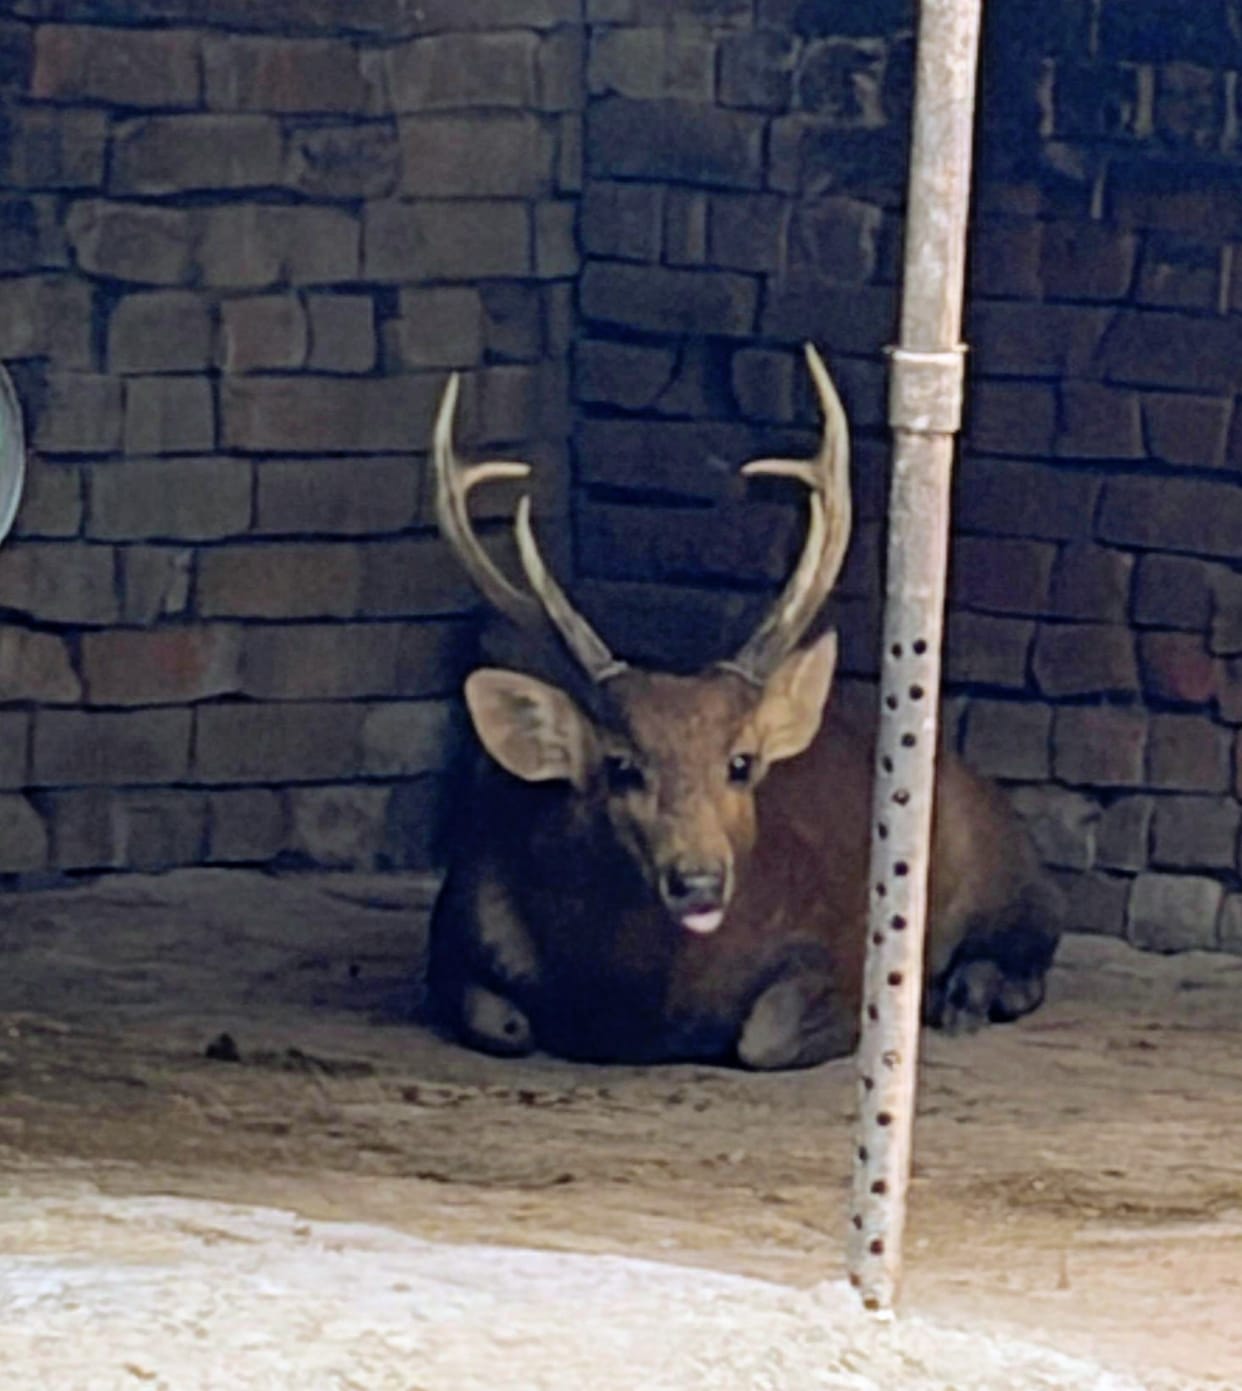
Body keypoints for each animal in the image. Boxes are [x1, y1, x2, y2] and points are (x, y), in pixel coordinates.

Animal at [425, 345, 1061, 1070]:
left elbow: (765, 1036)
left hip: (998, 858)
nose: (699, 881)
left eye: (741, 763)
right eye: (619, 765)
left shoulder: (839, 948)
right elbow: (499, 1023)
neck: (634, 1011)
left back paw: (970, 994)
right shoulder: (455, 926)